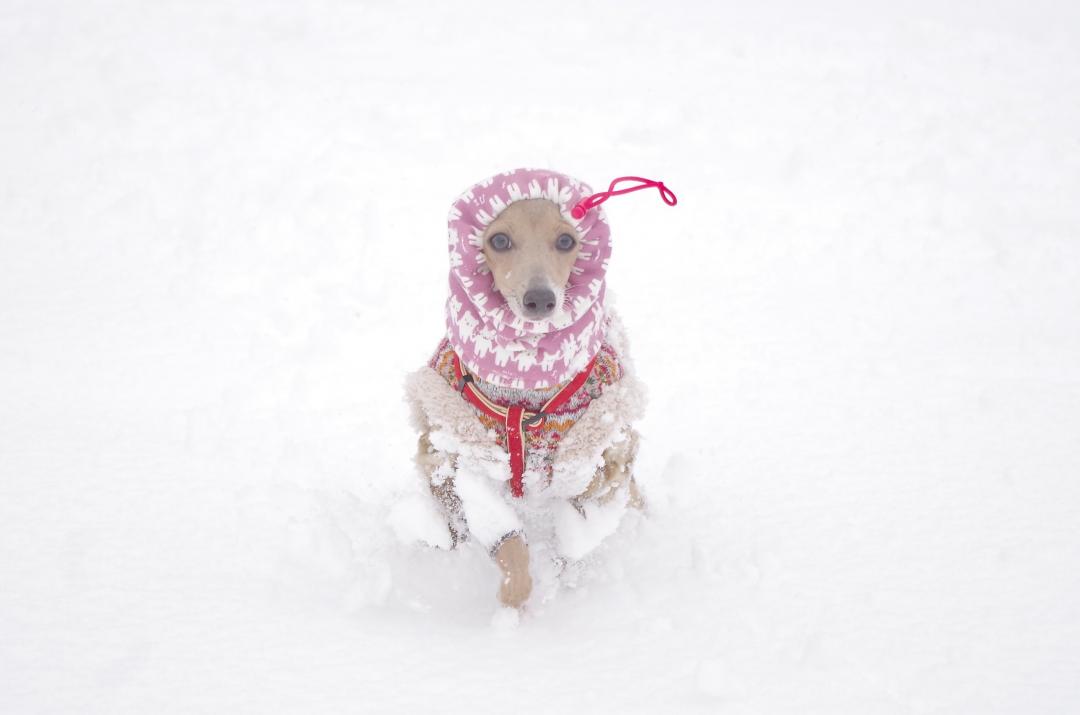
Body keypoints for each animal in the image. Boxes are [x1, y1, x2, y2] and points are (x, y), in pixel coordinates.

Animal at [406, 168, 673, 609]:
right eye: (499, 240)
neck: (524, 390)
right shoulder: (463, 455)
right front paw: (515, 602)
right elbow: (510, 546)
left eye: (566, 240)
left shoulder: (600, 460)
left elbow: (574, 539)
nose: (540, 299)